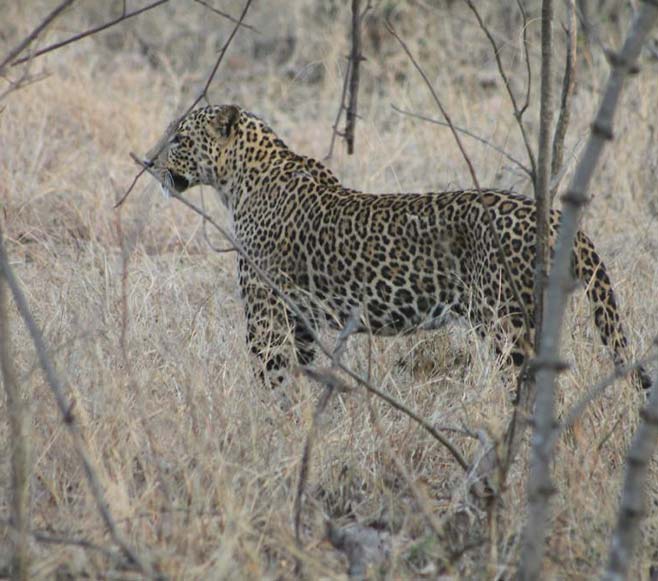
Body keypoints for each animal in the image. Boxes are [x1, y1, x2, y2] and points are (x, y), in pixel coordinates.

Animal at [146, 105, 648, 390]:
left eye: (179, 138)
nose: (148, 162)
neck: (238, 181)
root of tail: (564, 222)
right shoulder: (300, 321)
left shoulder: (265, 317)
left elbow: (272, 383)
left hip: (505, 322)